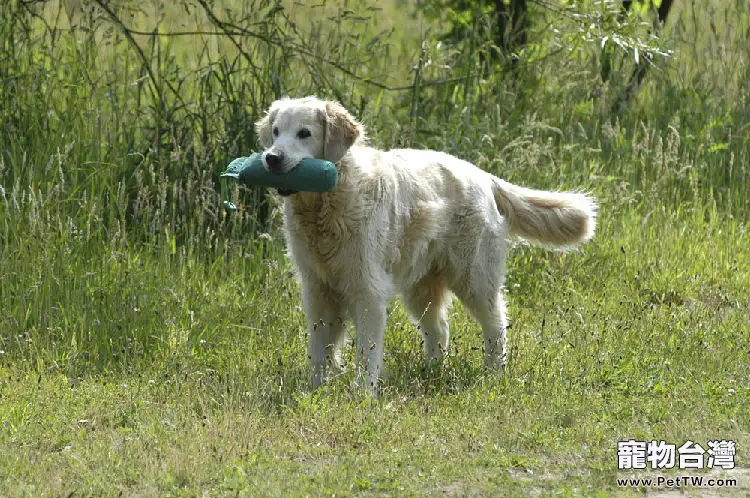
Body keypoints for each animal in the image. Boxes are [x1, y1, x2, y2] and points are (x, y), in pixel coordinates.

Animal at [256, 98, 596, 392]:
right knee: (439, 329)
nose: (271, 158)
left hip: (474, 278)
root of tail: (483, 176)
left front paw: (362, 394)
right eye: (276, 132)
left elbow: (367, 353)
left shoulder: (368, 291)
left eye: (304, 133)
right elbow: (319, 349)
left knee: (497, 325)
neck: (327, 204)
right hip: (422, 287)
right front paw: (314, 391)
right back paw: (432, 372)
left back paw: (493, 374)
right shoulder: (317, 289)